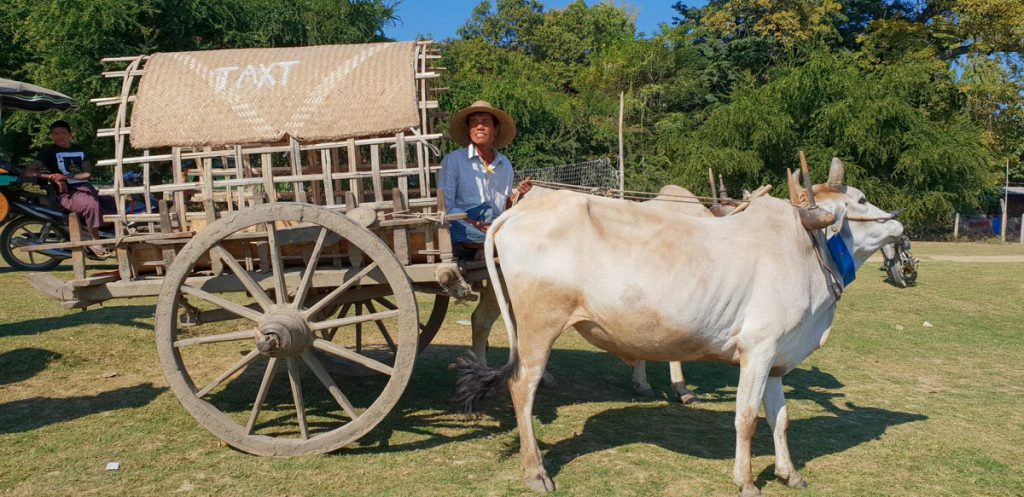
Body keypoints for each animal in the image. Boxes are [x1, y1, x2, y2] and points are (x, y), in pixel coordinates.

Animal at [454, 158, 903, 495]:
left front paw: (788, 473)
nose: (899, 224)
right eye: (861, 199)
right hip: (538, 326)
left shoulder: (777, 358)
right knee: (521, 387)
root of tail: (516, 211)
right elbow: (746, 418)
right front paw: (745, 481)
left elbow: (780, 418)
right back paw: (535, 471)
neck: (807, 248)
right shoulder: (757, 350)